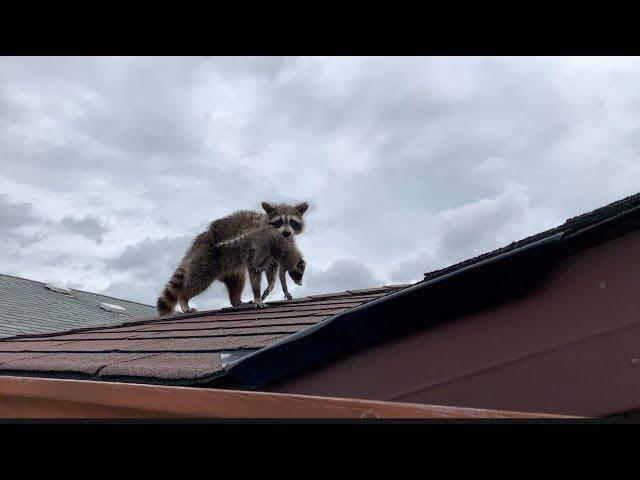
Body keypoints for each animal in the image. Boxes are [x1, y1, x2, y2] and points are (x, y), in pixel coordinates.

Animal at [159, 202, 312, 316]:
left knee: (237, 281)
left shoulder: (276, 253)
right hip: (207, 258)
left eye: (292, 221)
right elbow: (254, 272)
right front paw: (258, 296)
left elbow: (272, 269)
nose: (286, 233)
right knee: (199, 280)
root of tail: (203, 237)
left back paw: (236, 300)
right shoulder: (257, 247)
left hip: (232, 269)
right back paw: (184, 298)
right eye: (279, 222)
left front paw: (271, 285)